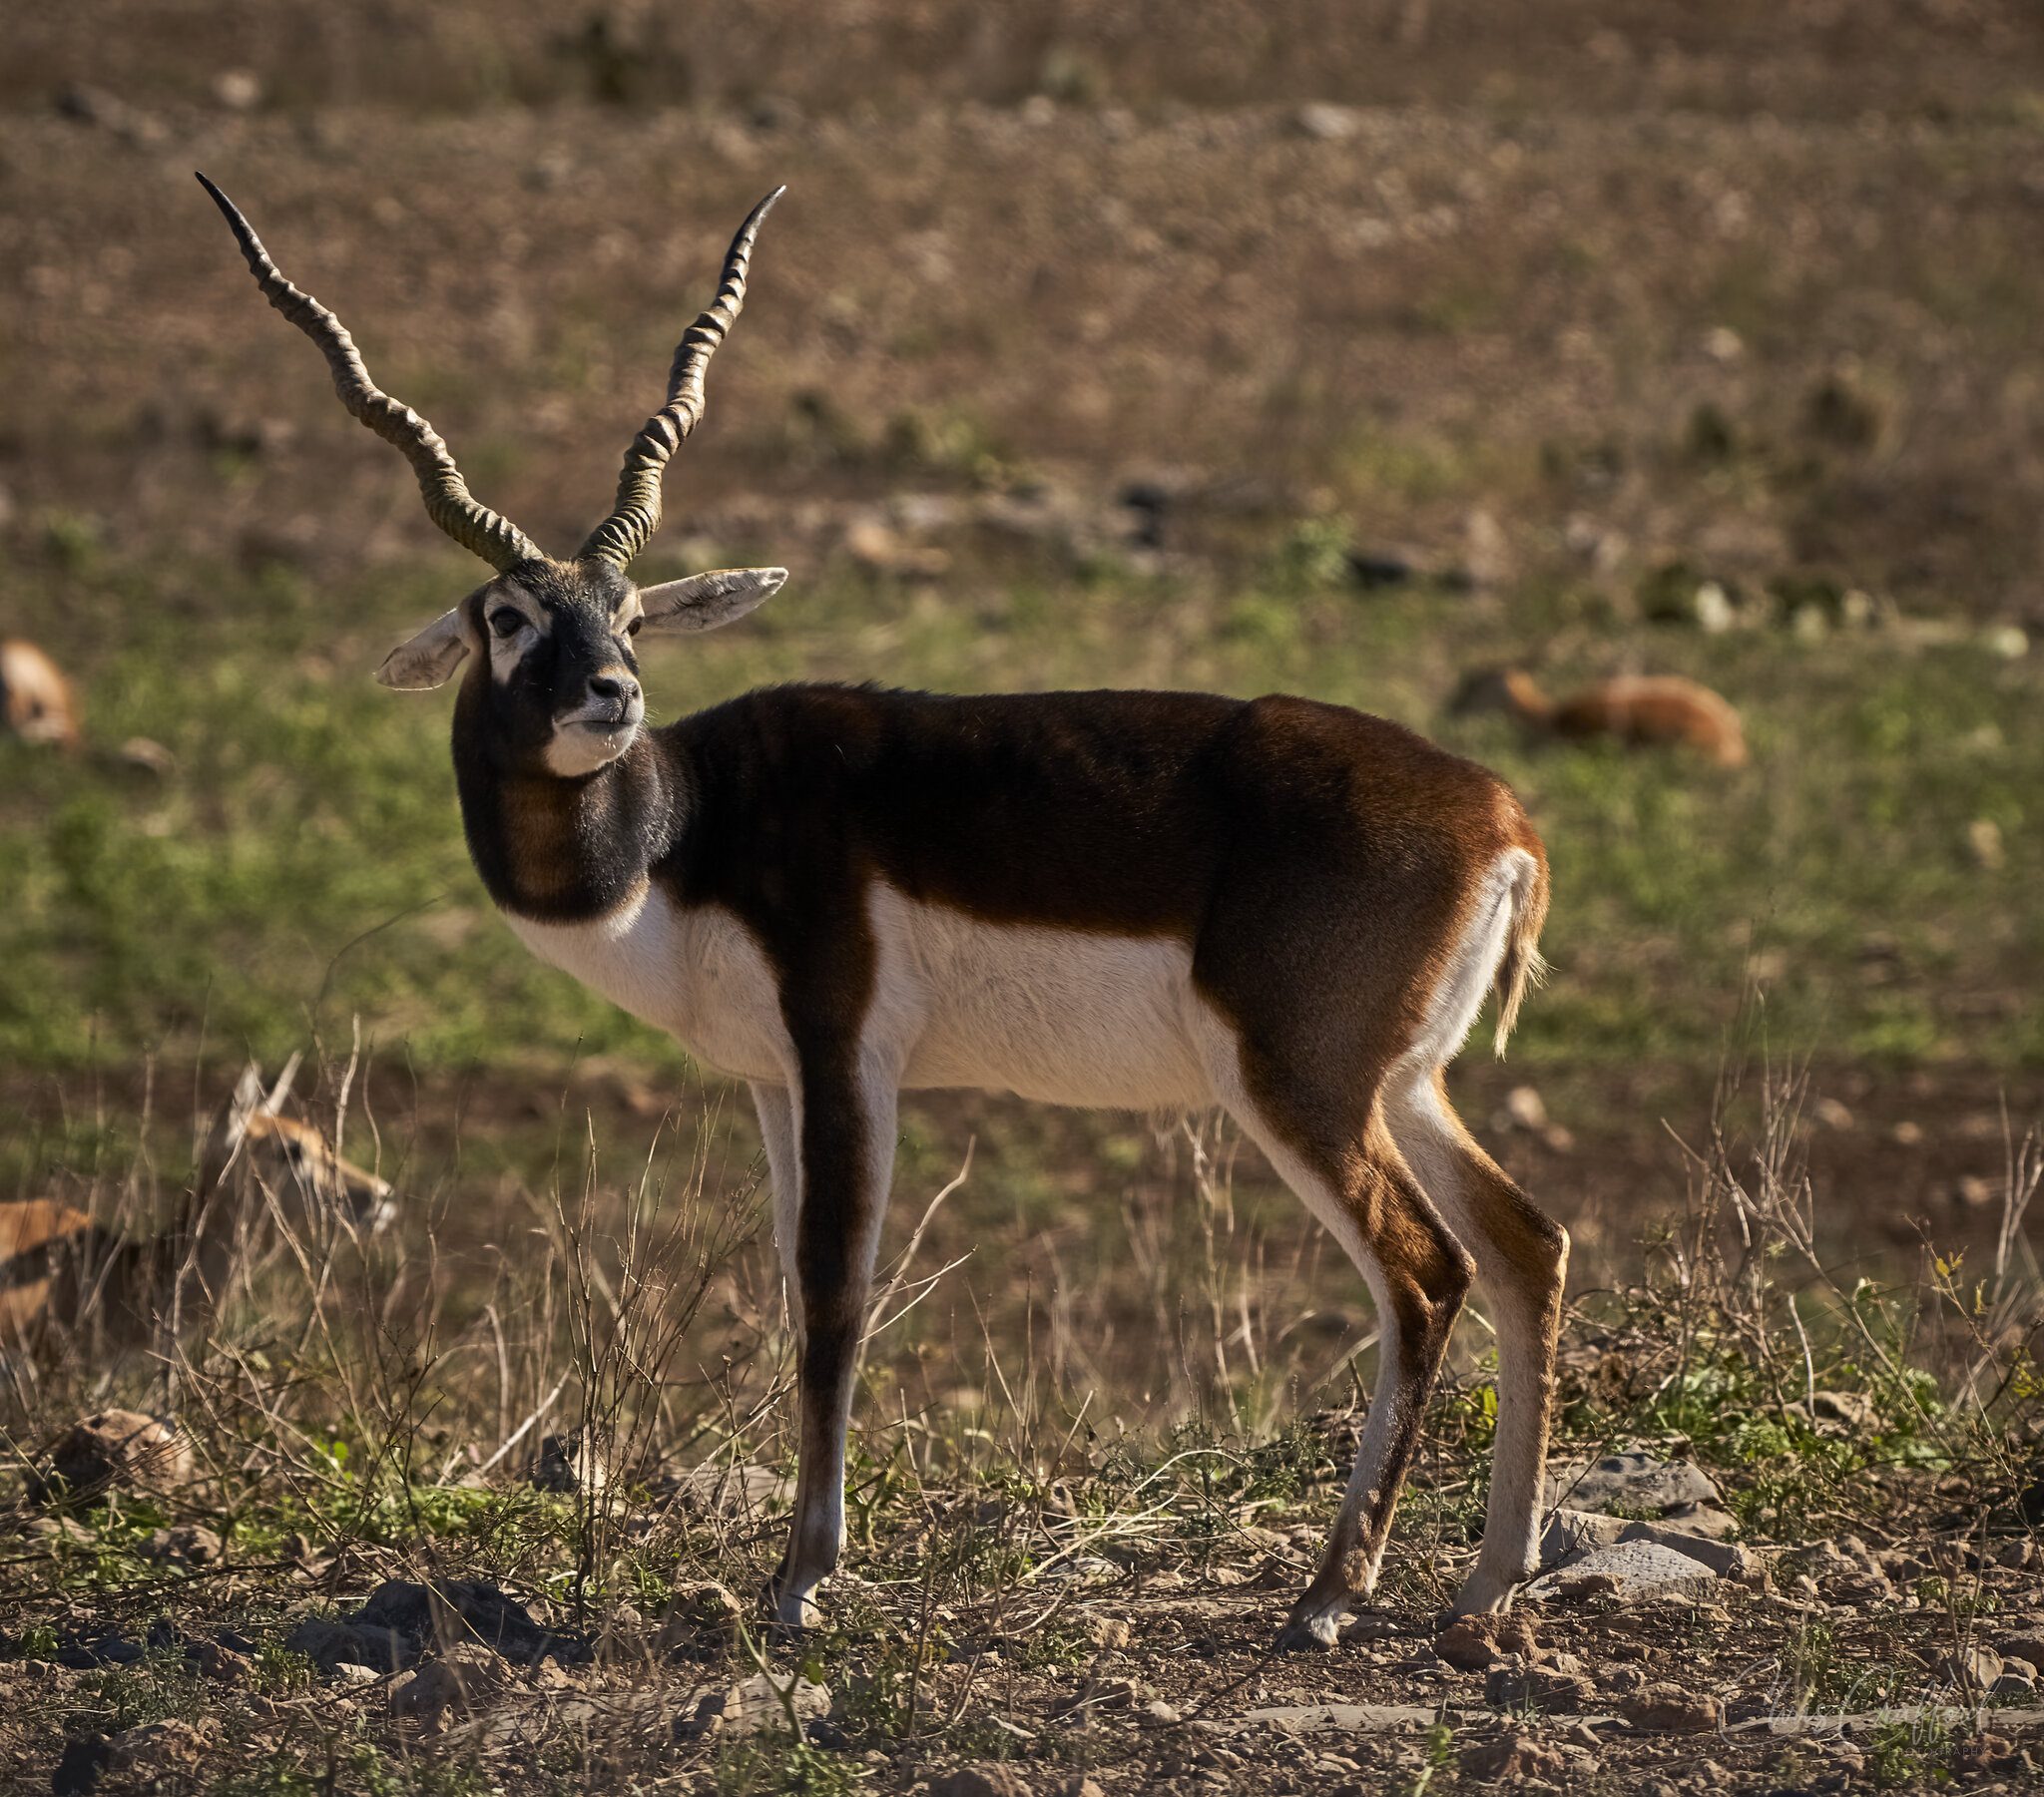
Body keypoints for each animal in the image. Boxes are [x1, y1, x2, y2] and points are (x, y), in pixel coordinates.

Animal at [203, 172, 1561, 1643]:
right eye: (508, 614)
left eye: (631, 612)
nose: (611, 695)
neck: (681, 833)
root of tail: (1501, 817)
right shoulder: (772, 1077)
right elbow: (794, 1277)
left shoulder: (846, 1045)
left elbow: (836, 1289)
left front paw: (801, 1576)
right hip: (1401, 1082)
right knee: (1526, 1242)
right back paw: (1487, 1581)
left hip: (1296, 1084)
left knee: (1426, 1271)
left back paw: (1328, 1591)